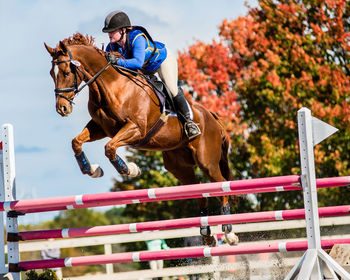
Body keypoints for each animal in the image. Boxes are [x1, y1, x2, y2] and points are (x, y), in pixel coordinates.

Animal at [43, 32, 238, 246]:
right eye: (52, 74)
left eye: (66, 72)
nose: (62, 108)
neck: (111, 85)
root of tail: (212, 117)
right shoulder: (101, 128)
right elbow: (77, 142)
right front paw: (92, 169)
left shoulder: (136, 128)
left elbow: (109, 148)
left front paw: (130, 169)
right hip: (178, 167)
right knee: (200, 191)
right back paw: (206, 234)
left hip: (207, 162)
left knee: (221, 186)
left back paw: (229, 232)